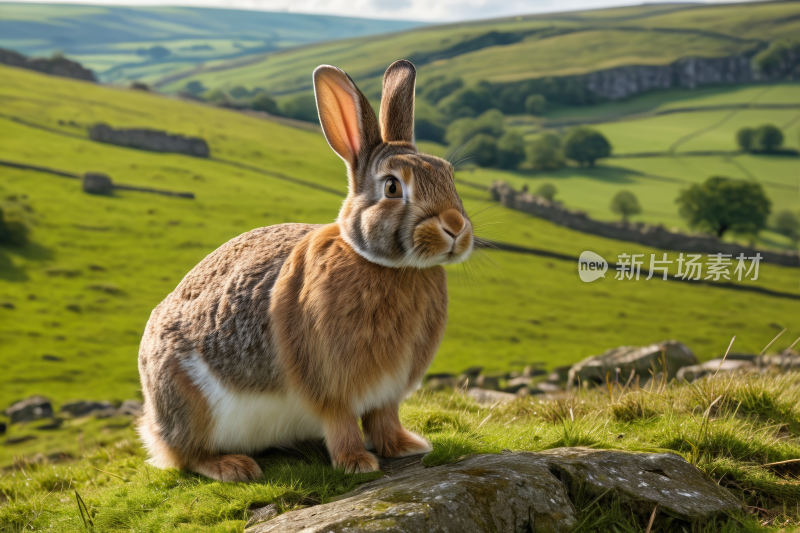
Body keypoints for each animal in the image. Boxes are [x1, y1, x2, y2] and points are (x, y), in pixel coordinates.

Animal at [138, 60, 476, 480]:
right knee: (187, 455)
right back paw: (234, 467)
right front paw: (356, 463)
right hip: (190, 405)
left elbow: (384, 418)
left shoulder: (387, 392)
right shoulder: (330, 384)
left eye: (447, 173)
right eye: (393, 188)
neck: (386, 265)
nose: (456, 228)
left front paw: (406, 447)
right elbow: (341, 421)